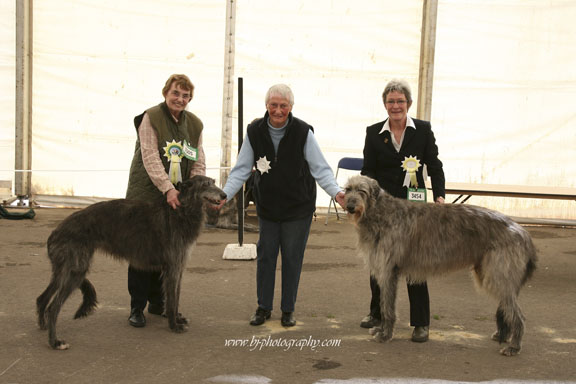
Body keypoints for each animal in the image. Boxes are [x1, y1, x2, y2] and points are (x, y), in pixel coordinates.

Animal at [36, 176, 225, 350]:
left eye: (214, 181)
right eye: (205, 184)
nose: (224, 195)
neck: (181, 211)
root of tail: (55, 232)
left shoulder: (179, 267)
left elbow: (176, 297)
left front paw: (178, 319)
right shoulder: (172, 267)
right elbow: (171, 300)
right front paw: (174, 325)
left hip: (64, 270)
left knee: (42, 297)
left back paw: (43, 325)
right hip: (75, 270)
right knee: (54, 307)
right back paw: (55, 342)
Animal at [344, 175, 536, 356]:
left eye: (362, 191)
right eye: (347, 189)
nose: (350, 206)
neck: (381, 212)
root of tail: (523, 232)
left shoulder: (388, 271)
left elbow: (388, 308)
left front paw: (385, 335)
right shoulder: (384, 271)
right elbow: (384, 303)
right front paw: (380, 329)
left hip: (498, 273)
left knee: (519, 316)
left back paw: (514, 346)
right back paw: (505, 336)